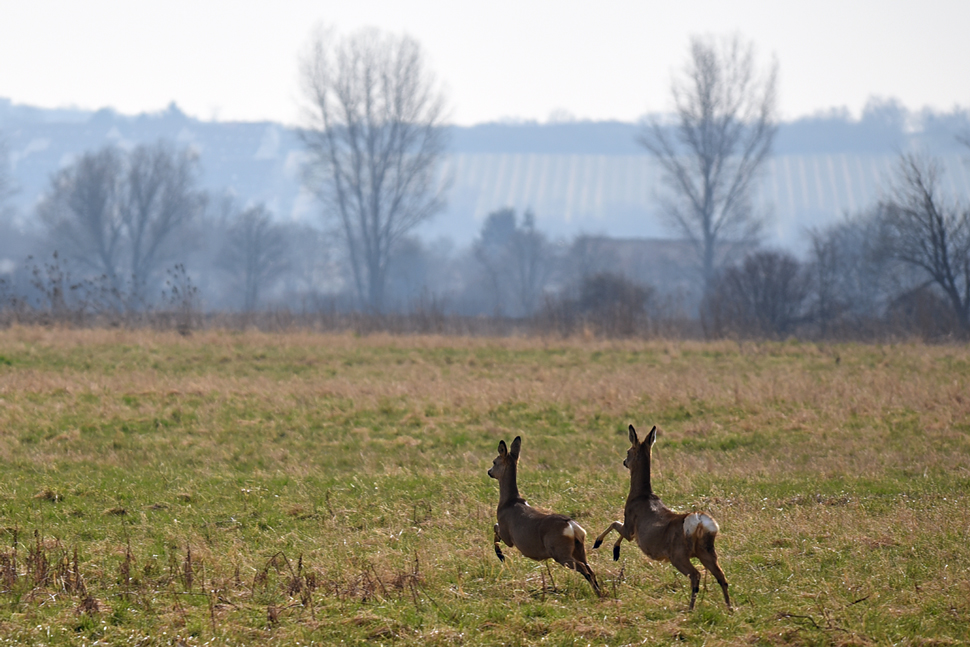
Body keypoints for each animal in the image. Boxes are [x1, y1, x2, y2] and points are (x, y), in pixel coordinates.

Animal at [492, 436, 596, 596]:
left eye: (494, 462)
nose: (489, 472)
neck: (509, 501)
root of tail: (572, 526)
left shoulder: (507, 534)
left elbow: (495, 527)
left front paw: (500, 555)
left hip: (560, 552)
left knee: (585, 569)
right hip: (579, 549)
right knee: (590, 568)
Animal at [592, 426, 728, 612]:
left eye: (628, 450)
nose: (624, 461)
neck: (641, 495)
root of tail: (699, 523)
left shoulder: (630, 524)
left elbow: (614, 524)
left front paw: (600, 544)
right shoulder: (632, 531)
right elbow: (618, 529)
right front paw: (615, 552)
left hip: (678, 554)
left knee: (696, 575)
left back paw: (690, 608)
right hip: (707, 551)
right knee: (722, 577)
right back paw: (730, 609)